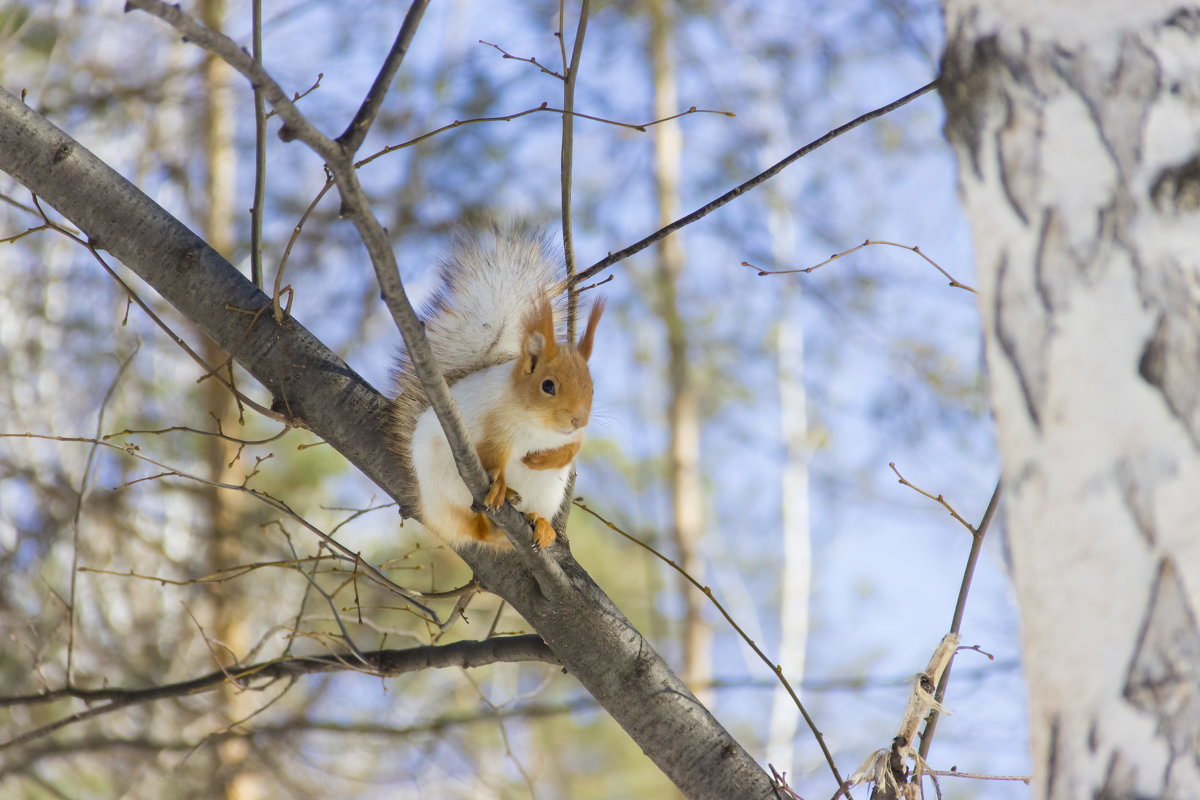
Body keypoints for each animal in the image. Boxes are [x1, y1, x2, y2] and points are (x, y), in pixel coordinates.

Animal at [388, 225, 604, 551]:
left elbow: (571, 450)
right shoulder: (496, 425)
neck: (539, 426)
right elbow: (493, 455)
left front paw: (540, 459)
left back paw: (541, 524)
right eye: (548, 385)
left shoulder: (573, 436)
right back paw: (500, 509)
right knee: (477, 530)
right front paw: (501, 482)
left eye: (591, 388)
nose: (578, 419)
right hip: (449, 492)